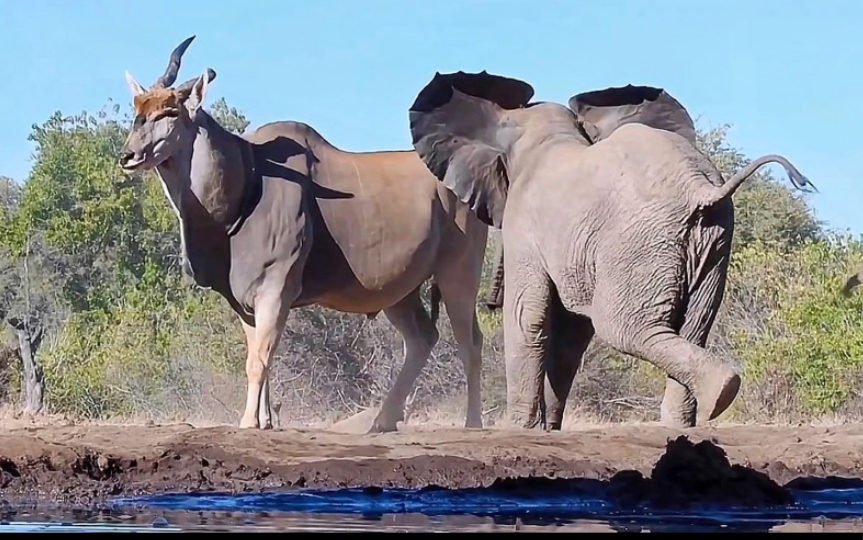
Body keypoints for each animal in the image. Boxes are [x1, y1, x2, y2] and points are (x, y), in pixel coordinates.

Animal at [408, 69, 812, 428]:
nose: (489, 301)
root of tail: (700, 188)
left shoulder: (525, 225)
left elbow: (529, 316)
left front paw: (519, 429)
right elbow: (569, 332)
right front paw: (547, 429)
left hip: (641, 241)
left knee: (622, 326)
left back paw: (719, 394)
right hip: (712, 243)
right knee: (694, 326)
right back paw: (689, 418)